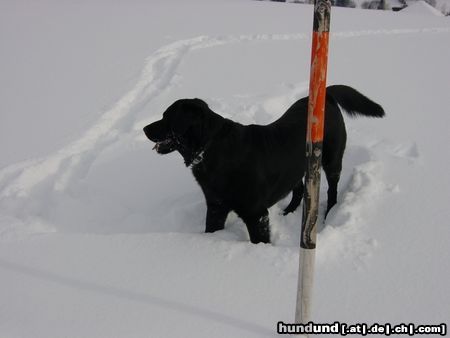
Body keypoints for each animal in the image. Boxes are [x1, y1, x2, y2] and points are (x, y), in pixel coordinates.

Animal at [144, 84, 384, 243]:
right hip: (294, 167)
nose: (145, 128)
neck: (210, 148)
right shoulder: (215, 206)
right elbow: (211, 229)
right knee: (298, 189)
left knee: (332, 188)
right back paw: (288, 211)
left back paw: (329, 212)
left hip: (331, 159)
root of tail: (327, 95)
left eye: (167, 117)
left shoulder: (256, 214)